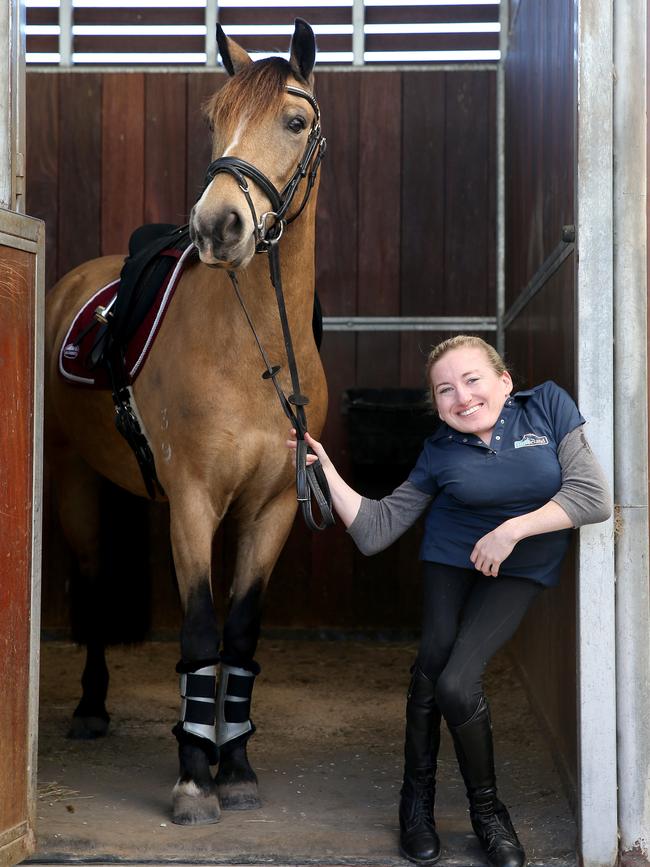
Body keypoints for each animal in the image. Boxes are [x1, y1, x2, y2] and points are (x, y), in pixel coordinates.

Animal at [44, 17, 330, 824]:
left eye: (294, 122)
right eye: (214, 121)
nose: (219, 225)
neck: (253, 348)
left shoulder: (271, 508)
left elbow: (238, 631)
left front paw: (235, 767)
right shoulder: (197, 500)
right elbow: (201, 629)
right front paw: (193, 779)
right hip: (76, 481)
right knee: (91, 580)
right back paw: (91, 707)